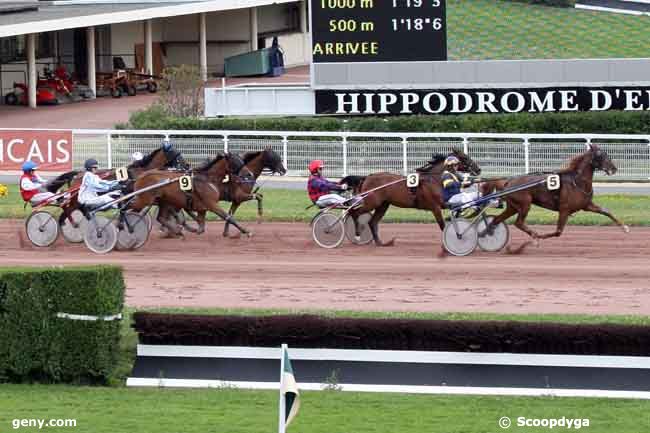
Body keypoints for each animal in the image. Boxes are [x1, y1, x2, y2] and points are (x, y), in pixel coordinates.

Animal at [342, 148, 478, 246]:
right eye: (465, 157)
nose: (478, 169)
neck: (434, 179)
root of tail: (367, 177)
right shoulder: (435, 207)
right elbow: (442, 224)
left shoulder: (445, 202)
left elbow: (458, 209)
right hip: (371, 201)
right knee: (353, 212)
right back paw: (357, 234)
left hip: (383, 205)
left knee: (372, 222)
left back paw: (380, 242)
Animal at [480, 144, 628, 240]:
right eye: (599, 155)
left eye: (606, 154)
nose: (614, 169)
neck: (577, 182)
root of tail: (508, 182)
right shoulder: (564, 210)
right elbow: (558, 232)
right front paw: (540, 237)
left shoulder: (586, 205)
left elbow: (606, 211)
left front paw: (625, 227)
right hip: (525, 204)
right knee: (519, 223)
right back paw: (535, 235)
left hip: (513, 207)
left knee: (497, 219)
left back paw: (485, 233)